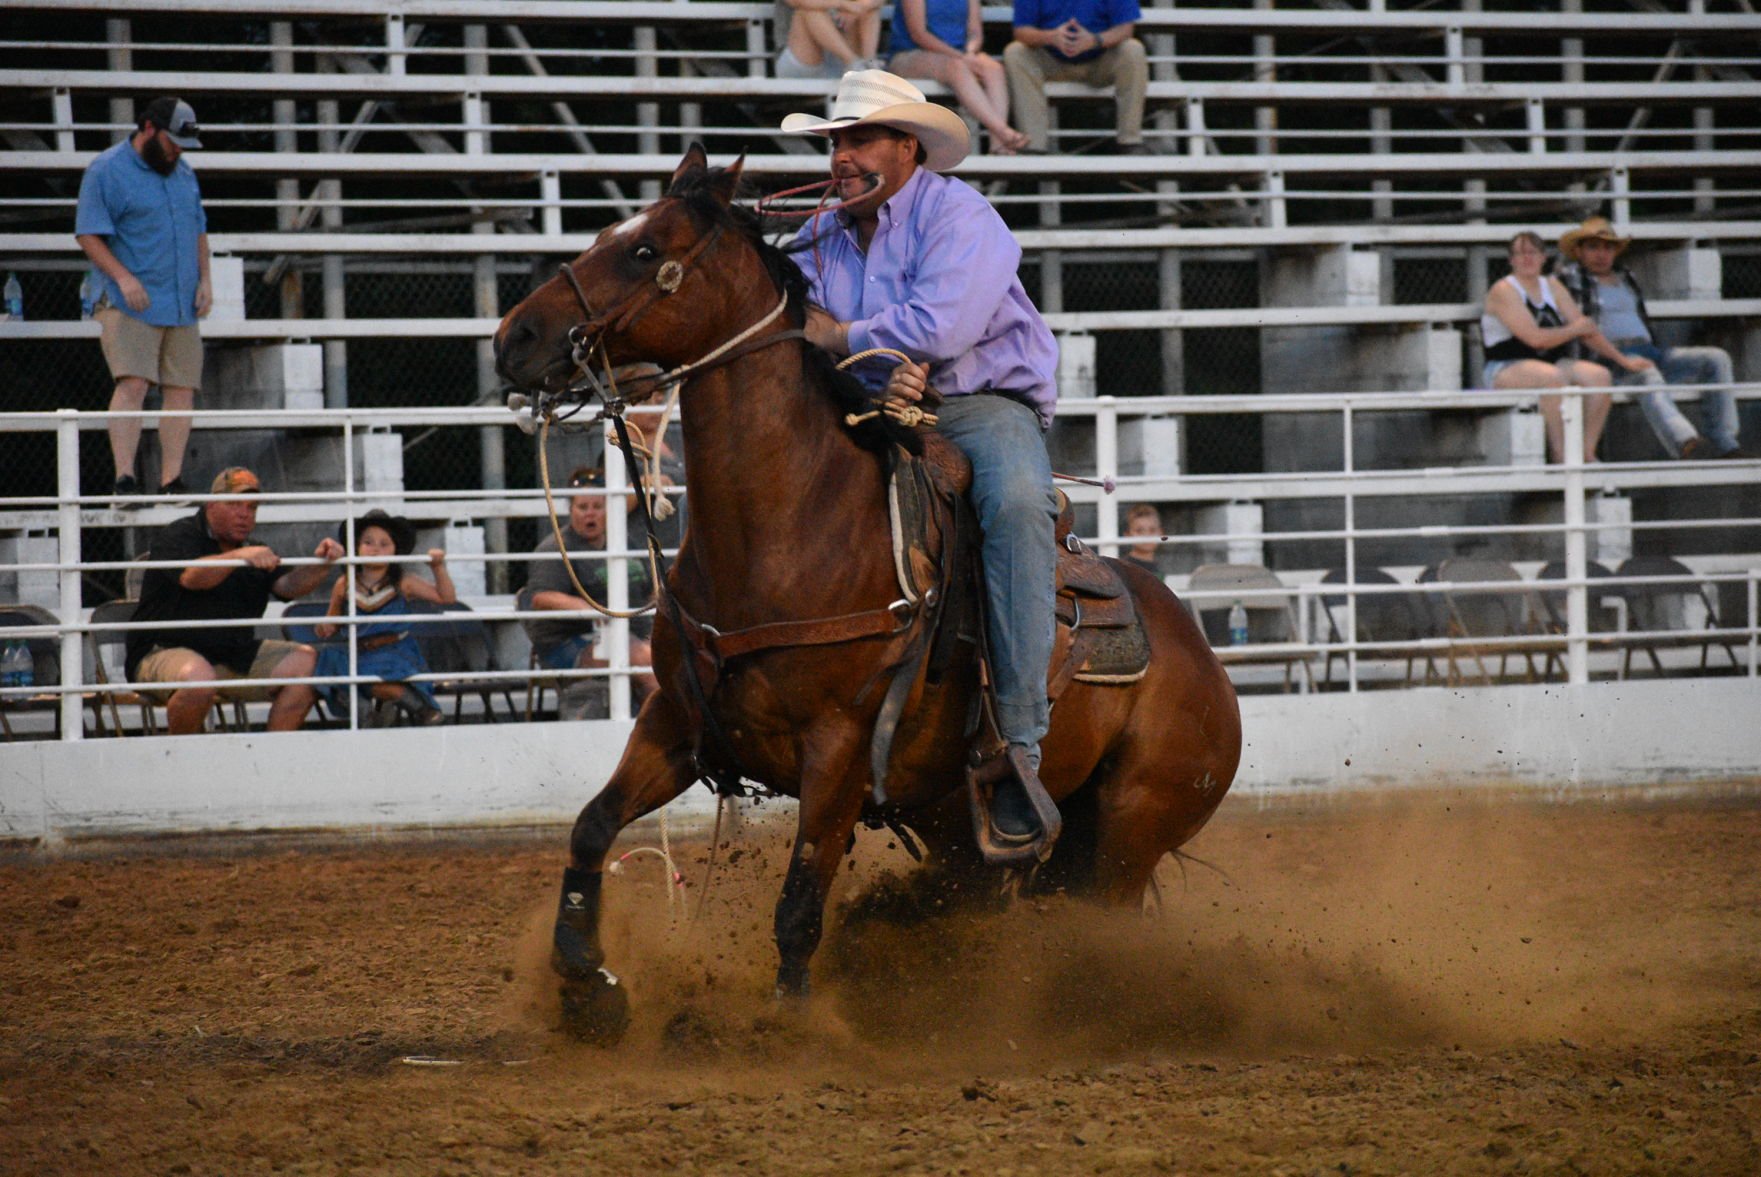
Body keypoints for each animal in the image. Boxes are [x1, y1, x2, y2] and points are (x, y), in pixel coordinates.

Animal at [493, 144, 1239, 1036]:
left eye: (645, 250)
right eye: (610, 231)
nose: (513, 336)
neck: (786, 527)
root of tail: (1199, 652)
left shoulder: (839, 750)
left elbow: (798, 904)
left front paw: (787, 1022)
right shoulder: (676, 723)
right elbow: (591, 826)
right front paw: (586, 979)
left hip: (1133, 823)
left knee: (1104, 921)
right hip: (959, 826)